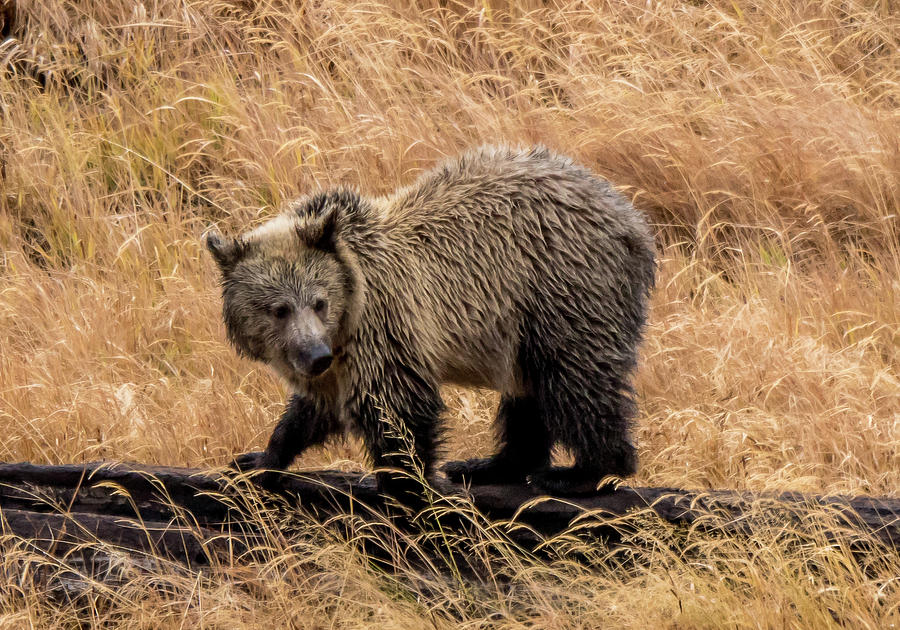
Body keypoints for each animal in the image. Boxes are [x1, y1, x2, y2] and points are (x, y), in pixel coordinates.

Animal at [204, 147, 652, 498]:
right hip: (526, 322)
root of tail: (632, 220)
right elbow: (309, 412)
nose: (316, 356)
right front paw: (259, 458)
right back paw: (488, 464)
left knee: (575, 379)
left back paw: (580, 472)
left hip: (561, 288)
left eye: (318, 302)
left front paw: (410, 485)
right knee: (528, 390)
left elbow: (397, 407)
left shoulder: (385, 325)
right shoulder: (340, 357)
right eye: (277, 309)